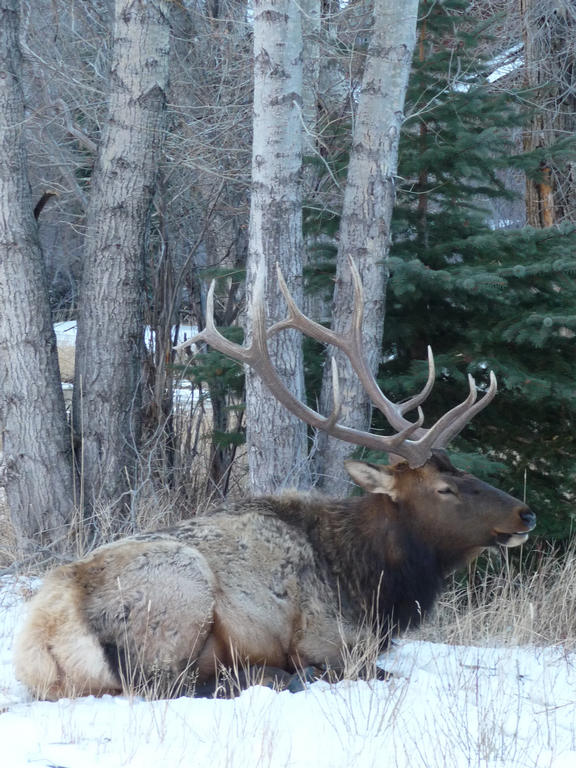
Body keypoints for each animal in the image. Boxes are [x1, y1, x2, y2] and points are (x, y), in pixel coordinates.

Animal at [13, 259, 536, 700]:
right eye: (444, 489)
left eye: (466, 472)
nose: (526, 513)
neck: (376, 584)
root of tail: (43, 636)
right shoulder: (328, 639)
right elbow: (377, 671)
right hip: (179, 595)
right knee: (172, 682)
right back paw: (275, 676)